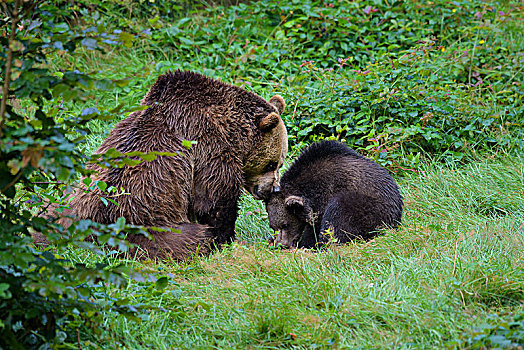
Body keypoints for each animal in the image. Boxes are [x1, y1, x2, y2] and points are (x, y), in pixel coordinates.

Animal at [39, 70, 288, 260]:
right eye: (272, 163)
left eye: (279, 162)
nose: (271, 188)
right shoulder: (209, 146)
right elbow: (213, 200)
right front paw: (227, 238)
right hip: (143, 227)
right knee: (189, 238)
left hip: (64, 207)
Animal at [264, 140, 404, 249]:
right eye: (273, 226)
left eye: (285, 224)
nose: (280, 244)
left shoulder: (324, 194)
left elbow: (318, 227)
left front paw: (307, 244)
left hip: (372, 211)